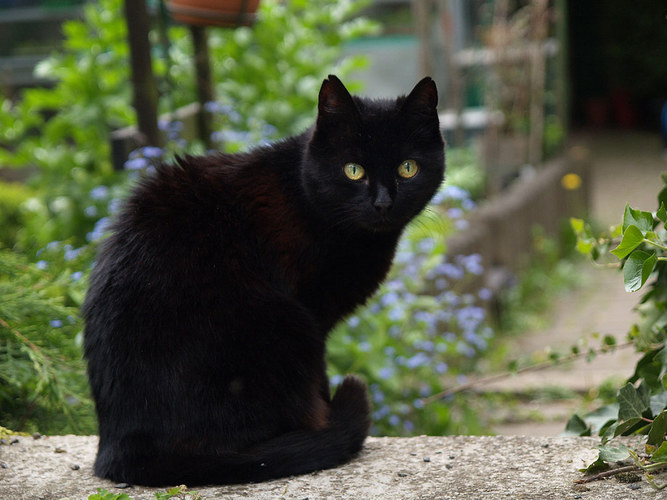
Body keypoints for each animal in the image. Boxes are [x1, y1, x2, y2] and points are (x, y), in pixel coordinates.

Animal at [85, 74, 448, 484]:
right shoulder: (313, 315)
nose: (383, 203)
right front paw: (327, 420)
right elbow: (320, 380)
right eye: (353, 170)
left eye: (408, 168)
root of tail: (121, 450)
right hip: (285, 324)